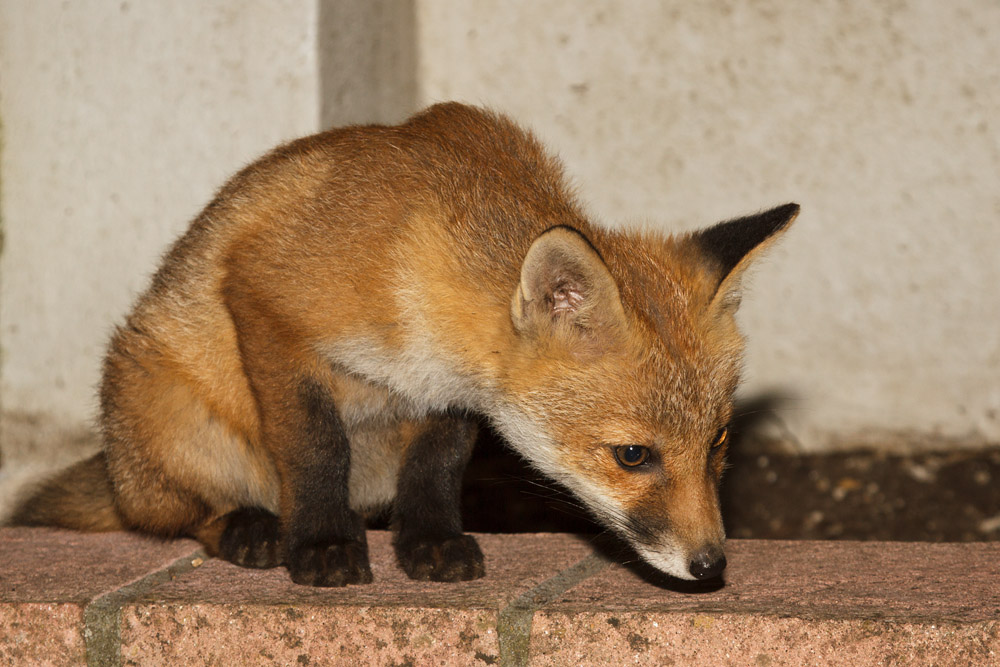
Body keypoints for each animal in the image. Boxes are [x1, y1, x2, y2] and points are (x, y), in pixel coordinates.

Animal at [10, 102, 797, 587]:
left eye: (719, 439)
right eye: (633, 455)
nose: (711, 565)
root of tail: (117, 466)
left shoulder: (448, 392)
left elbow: (436, 468)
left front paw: (430, 542)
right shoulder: (269, 305)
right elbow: (315, 447)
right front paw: (322, 545)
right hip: (170, 415)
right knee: (174, 515)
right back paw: (249, 526)